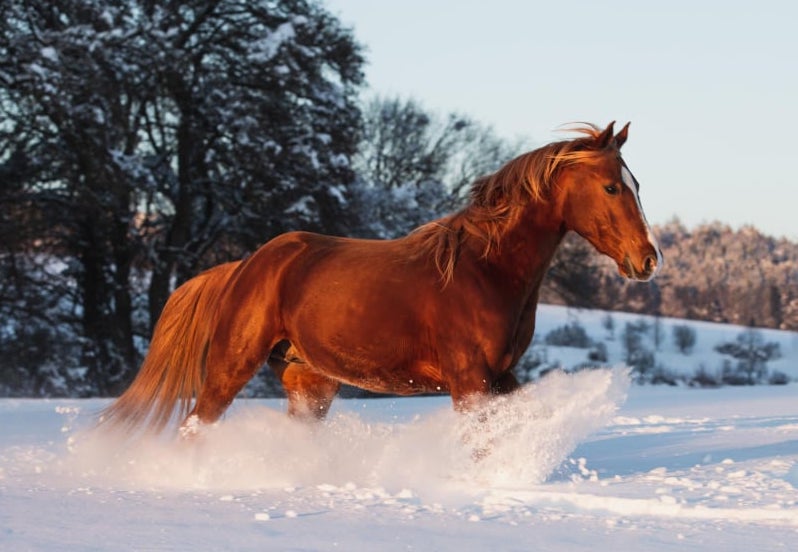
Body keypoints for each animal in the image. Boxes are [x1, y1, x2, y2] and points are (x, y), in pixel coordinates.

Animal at [101, 121, 664, 436]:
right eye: (612, 187)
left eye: (636, 184)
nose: (649, 259)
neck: (486, 271)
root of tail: (245, 265)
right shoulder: (470, 381)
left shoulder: (501, 377)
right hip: (232, 363)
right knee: (196, 424)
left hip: (310, 380)